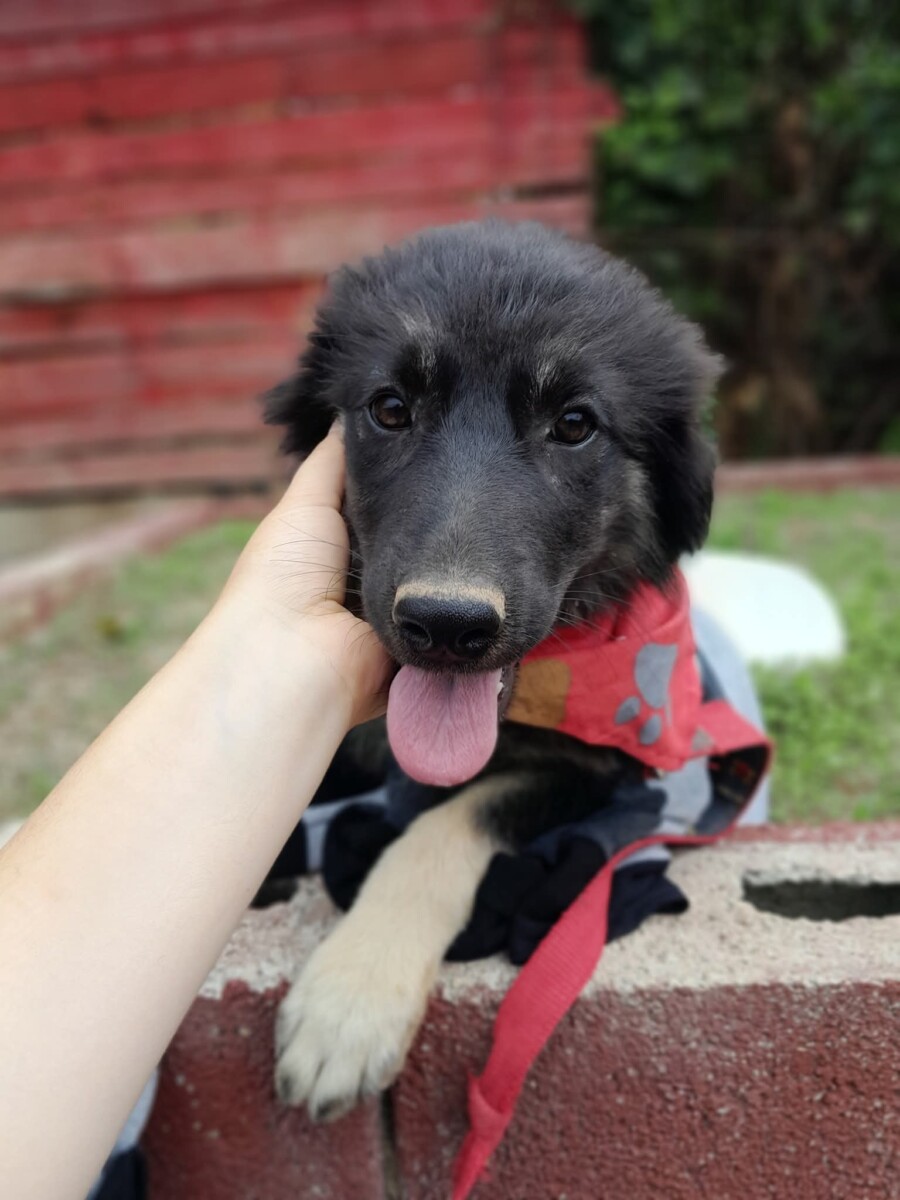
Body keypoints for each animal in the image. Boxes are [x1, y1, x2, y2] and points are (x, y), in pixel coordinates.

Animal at [263, 219, 719, 1122]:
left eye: (574, 424)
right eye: (390, 409)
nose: (446, 624)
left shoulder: (600, 772)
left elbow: (447, 823)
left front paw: (349, 1001)